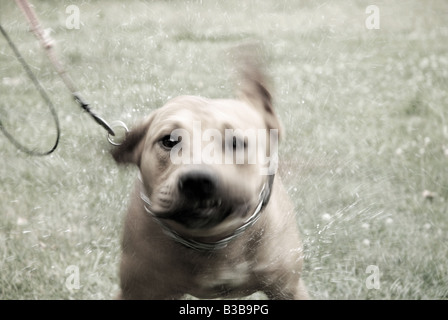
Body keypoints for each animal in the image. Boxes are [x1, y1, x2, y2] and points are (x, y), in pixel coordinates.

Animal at [111, 50, 308, 300]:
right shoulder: (138, 289)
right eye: (169, 140)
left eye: (235, 142)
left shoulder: (288, 287)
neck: (213, 241)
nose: (197, 181)